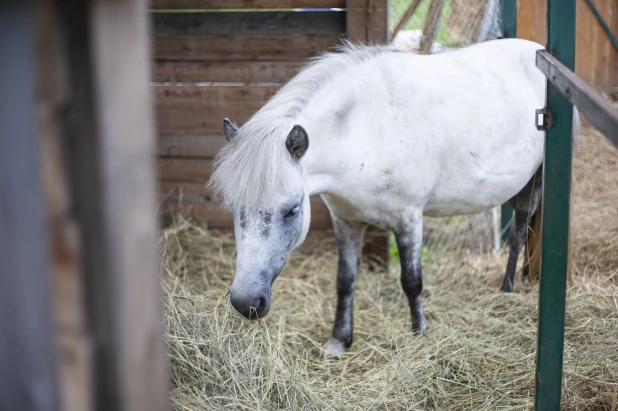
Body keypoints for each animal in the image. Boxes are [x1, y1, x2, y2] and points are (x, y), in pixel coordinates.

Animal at [211, 40, 576, 358]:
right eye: (233, 208)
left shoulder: (408, 219)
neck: (364, 128)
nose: (246, 303)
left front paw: (420, 334)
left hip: (537, 182)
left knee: (518, 231)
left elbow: (412, 282)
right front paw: (339, 341)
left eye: (292, 209)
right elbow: (345, 281)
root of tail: (537, 49)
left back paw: (506, 288)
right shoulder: (346, 222)